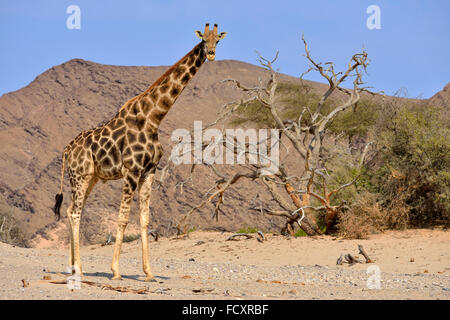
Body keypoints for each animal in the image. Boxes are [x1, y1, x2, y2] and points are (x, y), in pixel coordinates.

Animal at [52, 24, 227, 280]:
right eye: (204, 39)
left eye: (219, 40)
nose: (212, 53)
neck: (153, 119)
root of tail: (66, 150)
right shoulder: (131, 170)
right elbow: (123, 218)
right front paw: (115, 271)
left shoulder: (149, 171)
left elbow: (144, 219)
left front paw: (149, 272)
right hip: (80, 176)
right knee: (75, 212)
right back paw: (80, 269)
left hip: (91, 177)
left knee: (70, 209)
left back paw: (72, 266)